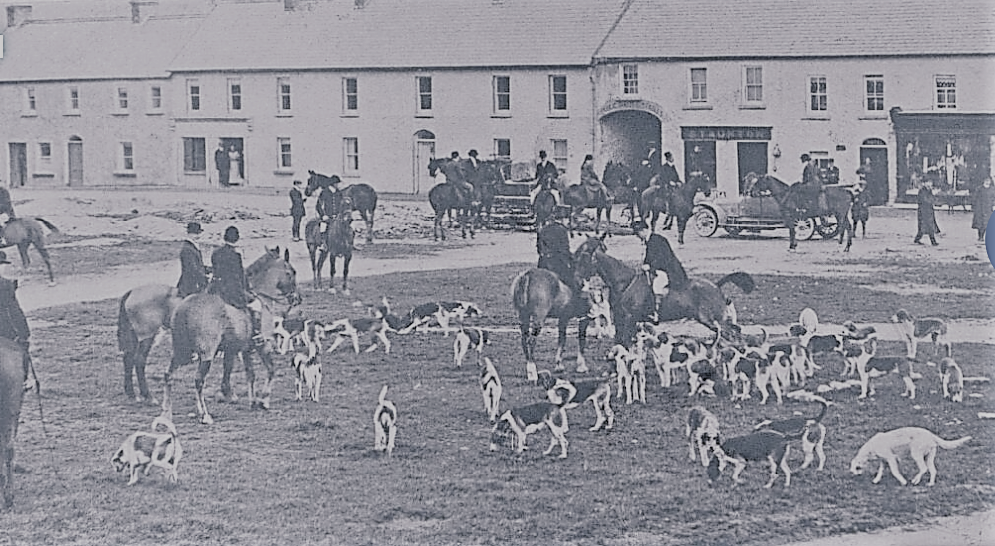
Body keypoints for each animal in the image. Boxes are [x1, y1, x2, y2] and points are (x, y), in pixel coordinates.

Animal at [117, 246, 300, 404]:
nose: (297, 298)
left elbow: (229, 365)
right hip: (148, 336)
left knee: (128, 359)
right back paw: (148, 396)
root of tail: (132, 292)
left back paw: (132, 394)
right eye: (292, 272)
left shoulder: (232, 345)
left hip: (137, 336)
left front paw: (227, 392)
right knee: (139, 361)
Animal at [158, 248, 300, 424]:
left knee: (168, 375)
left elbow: (250, 374)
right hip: (206, 355)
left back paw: (166, 412)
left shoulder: (243, 350)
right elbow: (271, 370)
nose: (297, 298)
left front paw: (253, 402)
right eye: (291, 272)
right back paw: (205, 415)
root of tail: (184, 308)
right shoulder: (263, 346)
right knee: (198, 380)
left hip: (181, 352)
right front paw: (264, 400)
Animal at [576, 234, 756, 344]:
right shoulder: (622, 318)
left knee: (733, 332)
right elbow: (620, 341)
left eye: (584, 256)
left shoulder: (629, 318)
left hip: (712, 320)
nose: (577, 280)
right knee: (735, 330)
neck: (624, 282)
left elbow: (626, 341)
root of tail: (716, 285)